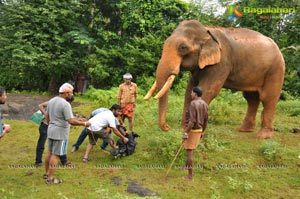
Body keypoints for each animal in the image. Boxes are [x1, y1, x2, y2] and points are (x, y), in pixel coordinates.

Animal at [145, 19, 286, 138]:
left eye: (183, 47)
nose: (167, 127)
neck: (206, 31)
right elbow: (190, 91)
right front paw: (183, 129)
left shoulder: (222, 62)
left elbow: (208, 89)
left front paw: (193, 131)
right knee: (251, 98)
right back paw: (244, 130)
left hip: (275, 70)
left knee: (268, 98)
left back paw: (262, 136)